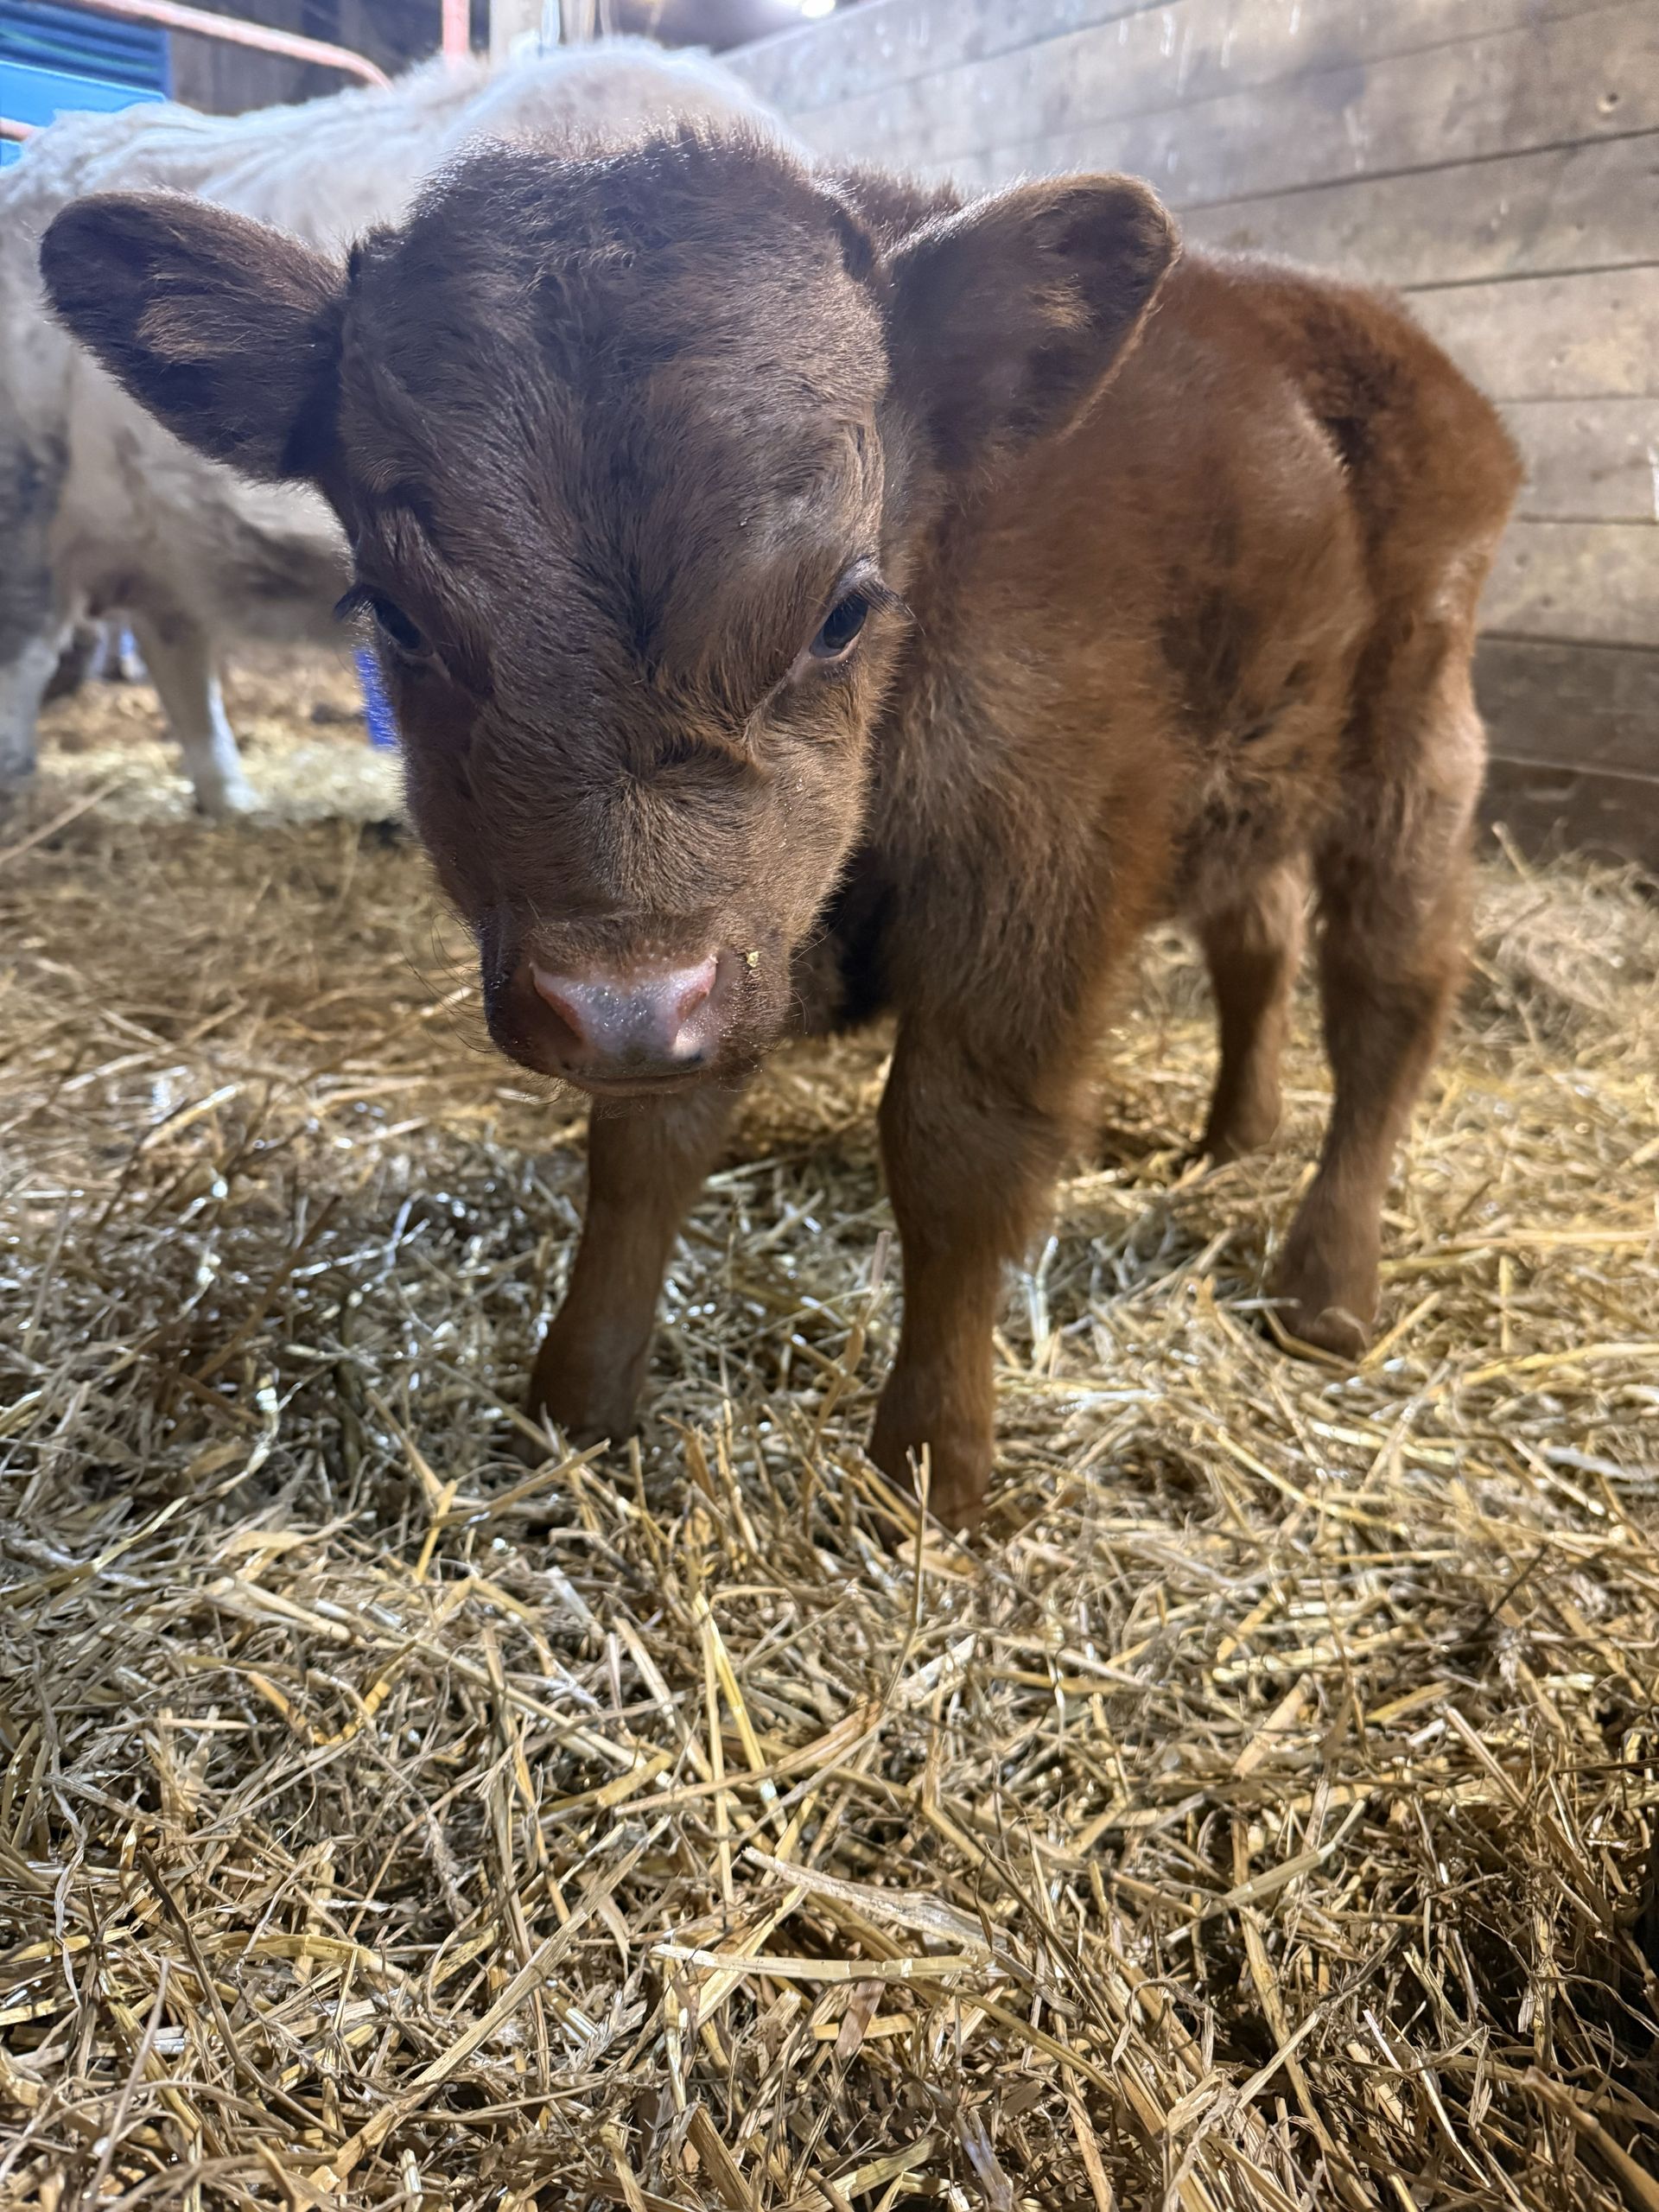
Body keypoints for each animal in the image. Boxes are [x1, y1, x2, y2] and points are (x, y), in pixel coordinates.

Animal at [41, 131, 1523, 1531]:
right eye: (396, 616)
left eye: (841, 609)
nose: (620, 1004)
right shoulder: (712, 958)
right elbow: (645, 1150)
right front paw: (577, 1400)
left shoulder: (1033, 877)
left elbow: (959, 1151)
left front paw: (933, 1464)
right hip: (1248, 786)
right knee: (1255, 940)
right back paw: (1231, 1137)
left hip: (1416, 745)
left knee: (1388, 993)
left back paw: (1325, 1284)